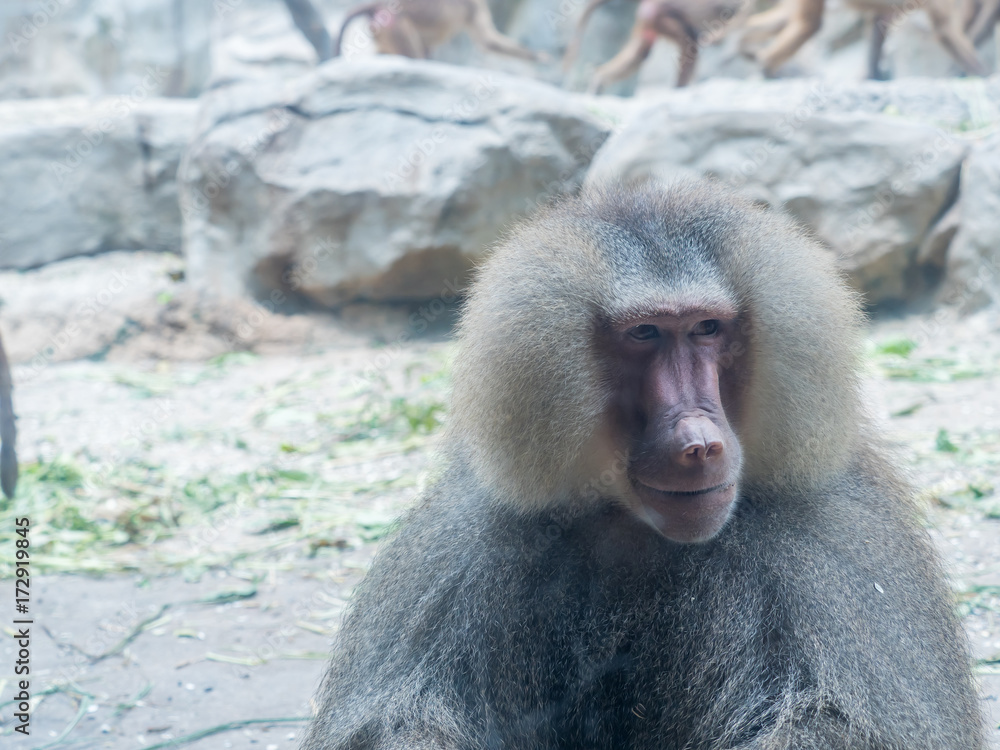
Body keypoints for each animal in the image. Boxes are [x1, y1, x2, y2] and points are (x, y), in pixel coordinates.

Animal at [301, 183, 987, 750]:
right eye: (645, 334)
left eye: (707, 328)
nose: (699, 443)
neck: (639, 530)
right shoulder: (465, 552)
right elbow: (394, 722)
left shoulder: (827, 552)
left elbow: (838, 722)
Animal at [333, 0, 547, 62]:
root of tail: (376, 5)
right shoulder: (475, 5)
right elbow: (488, 42)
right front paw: (540, 56)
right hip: (394, 25)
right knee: (414, 54)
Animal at [564, 0, 751, 91]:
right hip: (661, 15)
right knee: (690, 44)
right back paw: (679, 91)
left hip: (649, 21)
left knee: (641, 53)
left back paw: (599, 80)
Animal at [741, 0, 988, 79]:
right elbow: (944, 29)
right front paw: (983, 75)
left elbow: (879, 23)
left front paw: (873, 77)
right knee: (810, 25)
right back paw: (766, 67)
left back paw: (748, 49)